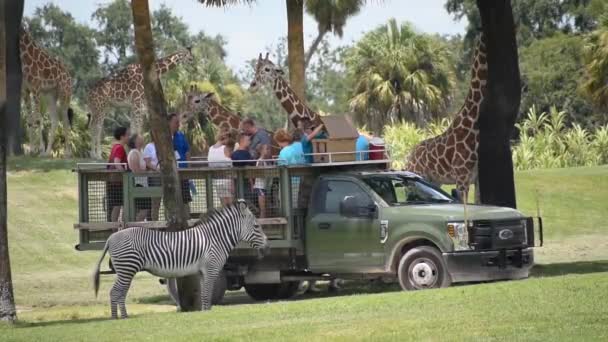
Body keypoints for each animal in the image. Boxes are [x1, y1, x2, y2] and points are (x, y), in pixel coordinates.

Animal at [19, 26, 74, 157]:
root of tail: (70, 76)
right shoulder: (25, 91)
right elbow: (29, 120)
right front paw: (31, 150)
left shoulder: (36, 88)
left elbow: (38, 119)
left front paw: (40, 150)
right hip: (50, 95)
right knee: (55, 119)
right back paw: (48, 152)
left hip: (65, 94)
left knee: (65, 120)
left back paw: (67, 153)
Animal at [93, 199, 268, 320]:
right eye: (257, 226)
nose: (266, 248)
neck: (215, 238)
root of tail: (111, 238)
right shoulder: (211, 269)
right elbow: (208, 293)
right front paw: (207, 313)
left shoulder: (202, 271)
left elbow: (204, 293)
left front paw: (204, 312)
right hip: (127, 268)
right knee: (116, 292)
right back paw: (119, 318)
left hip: (126, 270)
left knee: (119, 292)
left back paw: (120, 316)